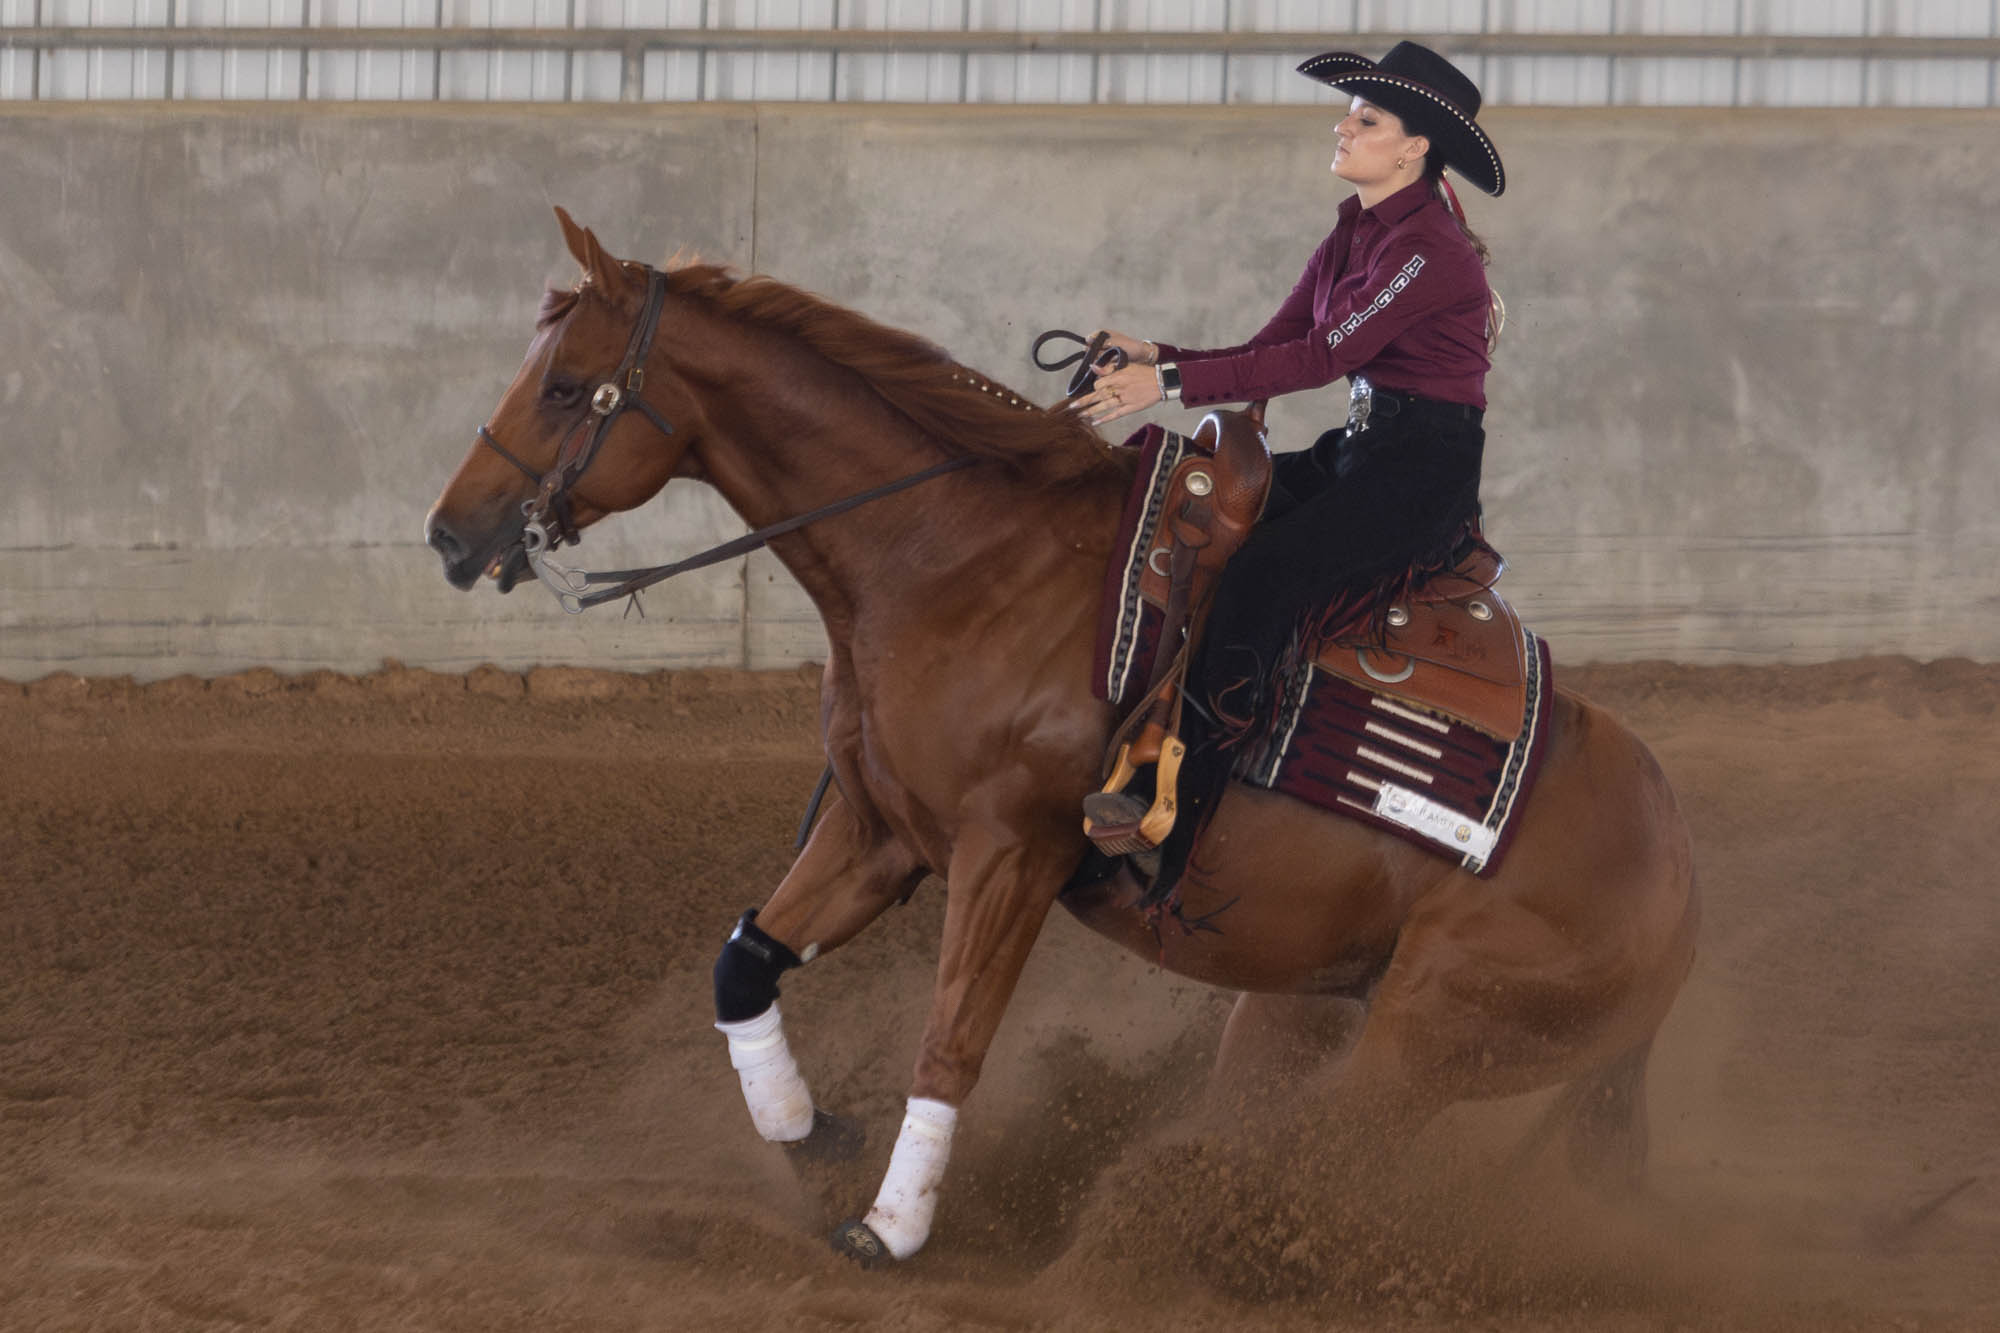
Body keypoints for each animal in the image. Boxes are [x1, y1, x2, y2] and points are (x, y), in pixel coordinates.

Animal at [426, 210, 1704, 1264]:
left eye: (567, 387)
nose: (449, 533)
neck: (956, 554)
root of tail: (1678, 884)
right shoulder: (880, 828)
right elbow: (744, 963)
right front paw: (810, 1131)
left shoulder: (1012, 852)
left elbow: (948, 1043)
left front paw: (889, 1227)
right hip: (1294, 1008)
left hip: (1425, 1037)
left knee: (1321, 1156)